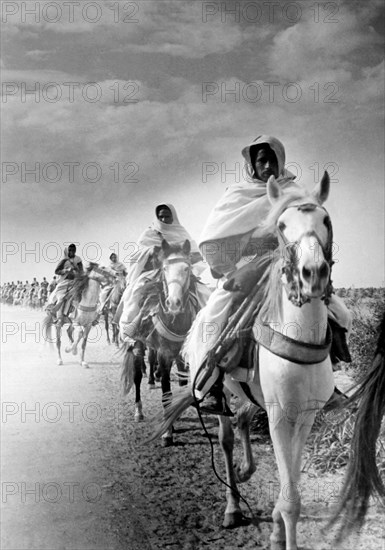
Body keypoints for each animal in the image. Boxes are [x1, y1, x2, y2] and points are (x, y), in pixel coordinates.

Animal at [153, 174, 336, 550]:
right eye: (281, 225)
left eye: (325, 220)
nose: (313, 274)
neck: (300, 334)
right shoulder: (280, 415)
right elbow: (291, 499)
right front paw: (281, 529)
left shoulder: (306, 415)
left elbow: (289, 485)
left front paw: (276, 529)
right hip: (218, 388)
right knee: (225, 438)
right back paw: (233, 507)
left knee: (241, 419)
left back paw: (245, 471)